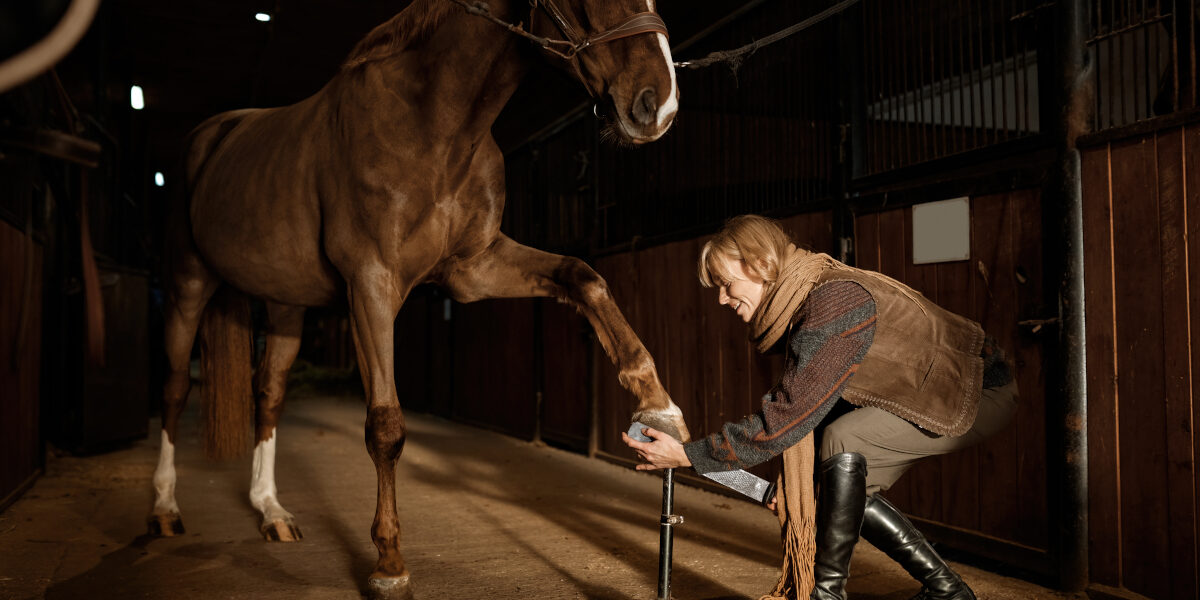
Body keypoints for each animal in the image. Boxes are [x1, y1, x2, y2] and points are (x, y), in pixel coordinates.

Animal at [148, 0, 691, 597]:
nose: (658, 105)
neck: (433, 128)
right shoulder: (371, 284)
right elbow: (385, 427)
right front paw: (389, 564)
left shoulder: (474, 269)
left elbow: (583, 277)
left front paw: (657, 404)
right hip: (188, 284)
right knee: (174, 389)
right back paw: (165, 508)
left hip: (285, 305)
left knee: (267, 394)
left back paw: (271, 511)